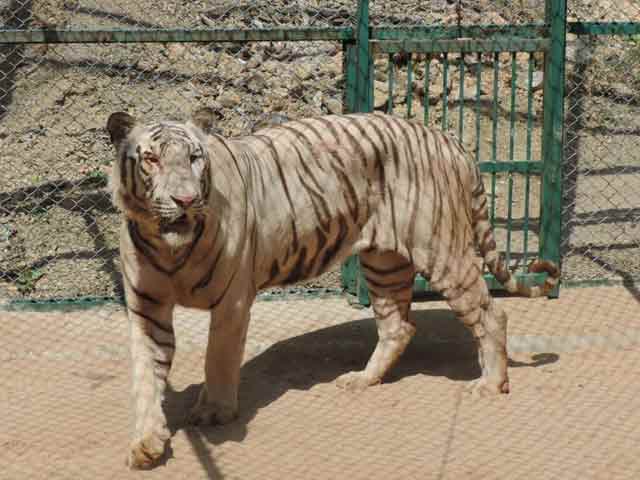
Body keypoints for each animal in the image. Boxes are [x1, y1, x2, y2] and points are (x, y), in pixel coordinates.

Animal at [106, 108, 559, 469]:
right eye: (151, 159)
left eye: (195, 158)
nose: (184, 201)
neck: (169, 247)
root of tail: (448, 138)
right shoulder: (147, 309)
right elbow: (146, 377)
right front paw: (146, 444)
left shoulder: (232, 300)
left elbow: (217, 359)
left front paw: (214, 411)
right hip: (384, 262)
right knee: (398, 326)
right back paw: (362, 379)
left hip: (441, 249)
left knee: (491, 313)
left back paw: (491, 384)